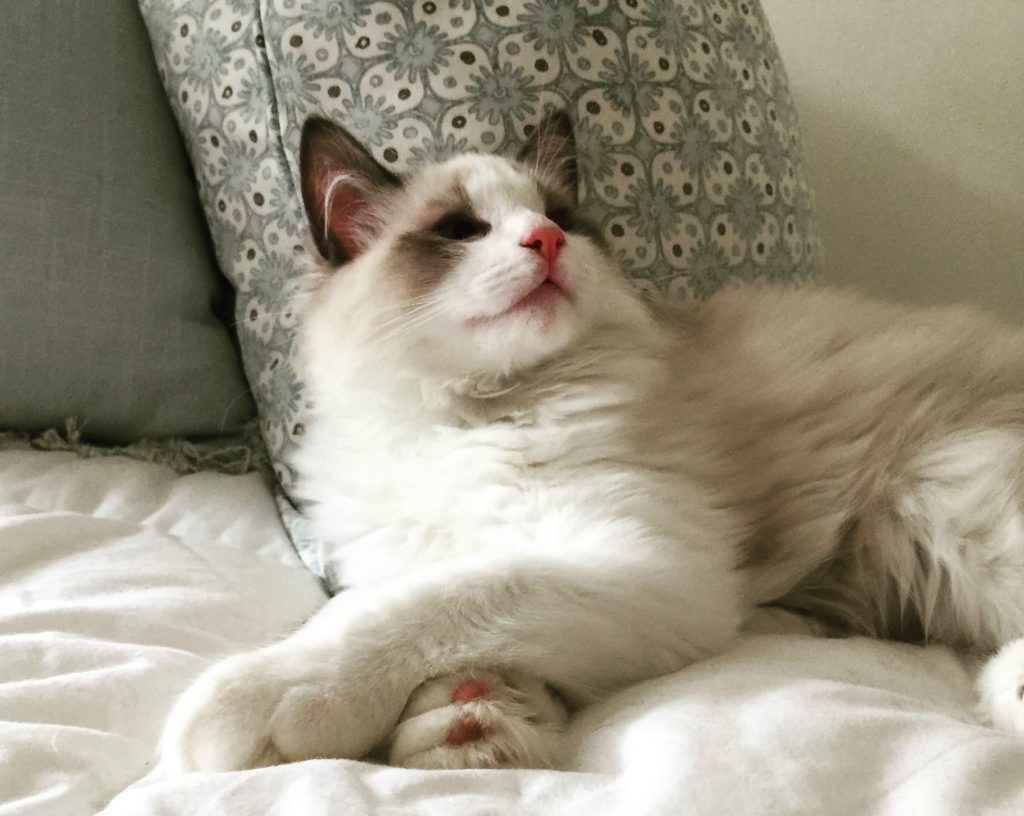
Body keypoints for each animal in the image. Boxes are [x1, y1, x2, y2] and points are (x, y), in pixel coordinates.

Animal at [155, 110, 1024, 769]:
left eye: (561, 219)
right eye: (462, 230)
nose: (544, 241)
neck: (469, 413)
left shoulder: (643, 562)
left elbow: (426, 606)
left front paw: (262, 699)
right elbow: (458, 630)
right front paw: (470, 725)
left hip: (951, 502)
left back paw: (1007, 694)